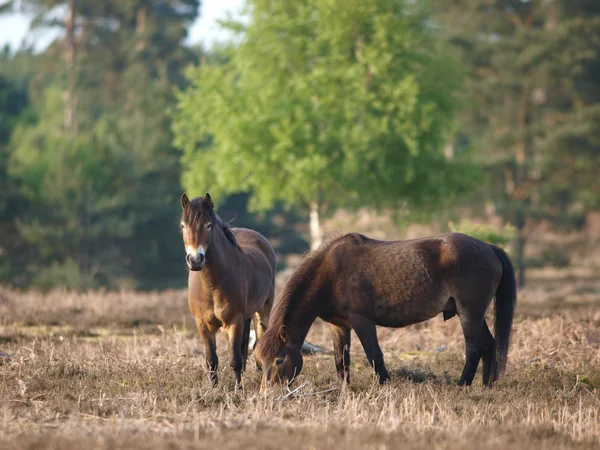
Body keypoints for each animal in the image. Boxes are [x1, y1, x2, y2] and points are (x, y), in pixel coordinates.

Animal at [180, 192, 276, 386]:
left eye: (208, 225)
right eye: (183, 226)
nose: (195, 260)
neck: (211, 284)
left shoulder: (234, 321)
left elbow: (235, 359)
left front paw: (238, 388)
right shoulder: (203, 324)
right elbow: (211, 360)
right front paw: (213, 388)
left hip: (262, 311)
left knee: (259, 341)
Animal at [253, 232, 516, 386]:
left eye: (278, 359)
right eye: (259, 360)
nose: (268, 392)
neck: (330, 271)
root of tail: (489, 248)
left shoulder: (362, 320)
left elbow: (374, 354)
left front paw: (384, 385)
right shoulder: (338, 326)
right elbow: (341, 360)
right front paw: (345, 389)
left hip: (469, 313)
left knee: (474, 349)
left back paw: (463, 385)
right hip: (473, 314)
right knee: (489, 345)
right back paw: (487, 386)